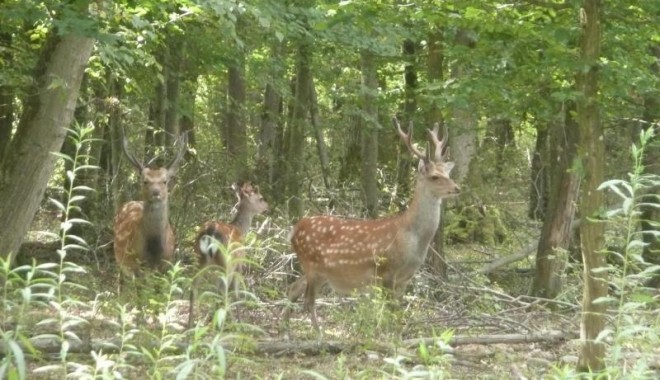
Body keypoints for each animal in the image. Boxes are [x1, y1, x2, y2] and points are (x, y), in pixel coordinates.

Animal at [113, 131, 188, 280]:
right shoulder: (132, 266)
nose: (156, 192)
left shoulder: (167, 264)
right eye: (145, 181)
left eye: (165, 181)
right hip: (120, 259)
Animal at [188, 183, 268, 326]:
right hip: (226, 262)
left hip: (200, 259)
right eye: (261, 198)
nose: (267, 207)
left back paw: (191, 324)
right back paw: (231, 324)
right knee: (223, 291)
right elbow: (236, 292)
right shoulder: (239, 262)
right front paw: (239, 320)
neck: (241, 230)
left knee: (194, 287)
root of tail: (210, 234)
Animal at [286, 116, 462, 330]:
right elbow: (387, 313)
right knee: (308, 300)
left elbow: (397, 314)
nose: (457, 188)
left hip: (316, 270)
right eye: (435, 177)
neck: (412, 239)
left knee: (292, 289)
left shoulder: (405, 278)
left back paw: (285, 330)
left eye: (448, 174)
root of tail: (294, 229)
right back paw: (317, 334)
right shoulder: (386, 271)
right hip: (312, 265)